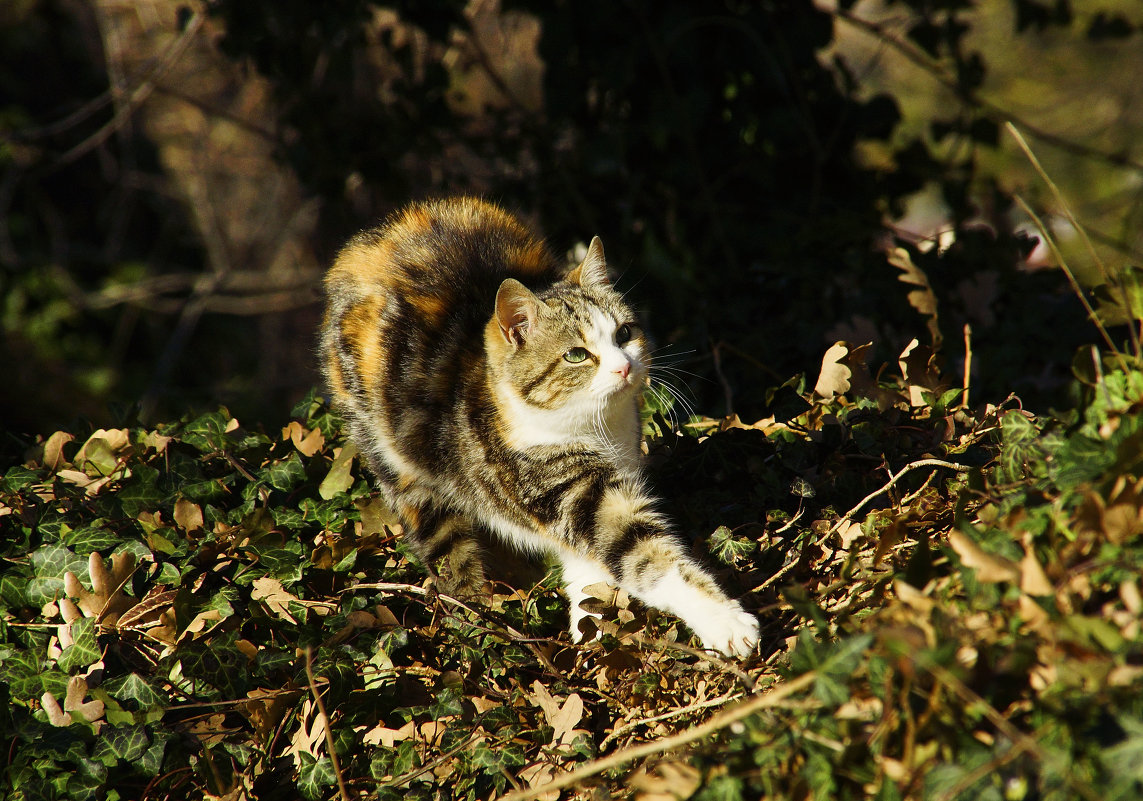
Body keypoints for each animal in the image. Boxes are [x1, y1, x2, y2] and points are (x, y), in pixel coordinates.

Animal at [317, 196, 758, 653]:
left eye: (624, 333)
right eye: (577, 355)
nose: (624, 367)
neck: (596, 429)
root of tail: (367, 243)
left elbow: (589, 569)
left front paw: (590, 634)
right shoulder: (566, 490)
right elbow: (646, 556)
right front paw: (724, 622)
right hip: (395, 459)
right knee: (443, 542)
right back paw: (476, 617)